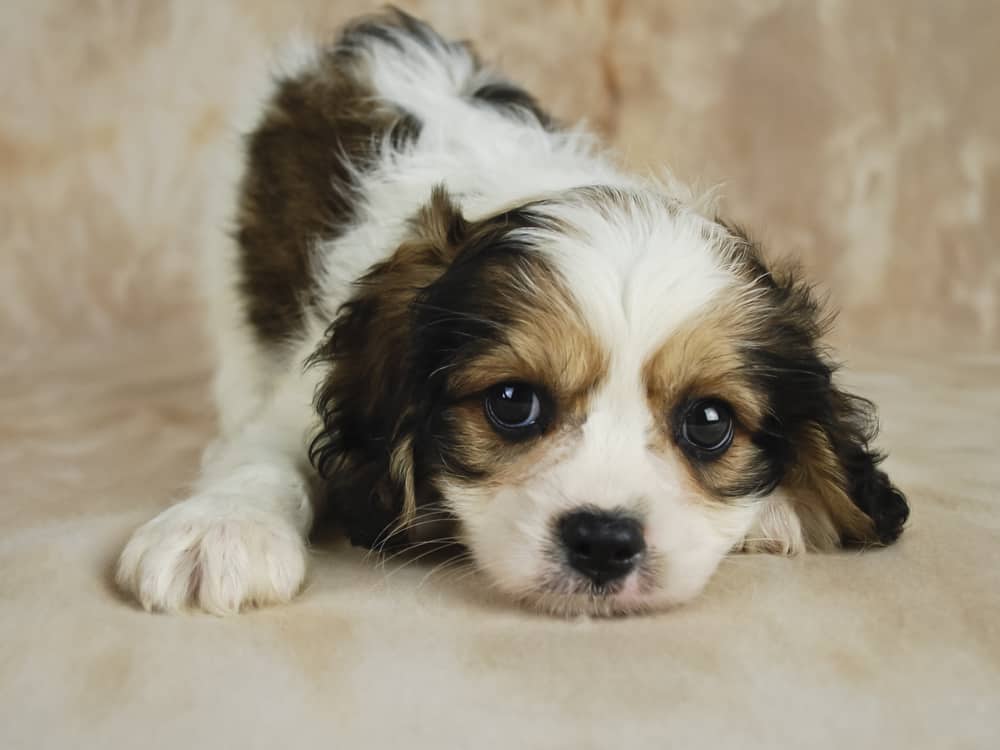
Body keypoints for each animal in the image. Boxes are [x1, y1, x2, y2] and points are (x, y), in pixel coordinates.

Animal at [115, 10, 908, 616]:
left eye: (709, 422)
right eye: (512, 404)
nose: (603, 542)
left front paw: (777, 505)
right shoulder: (301, 394)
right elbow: (265, 450)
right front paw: (220, 528)